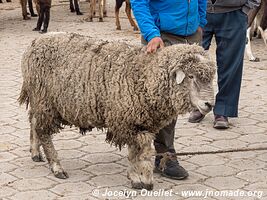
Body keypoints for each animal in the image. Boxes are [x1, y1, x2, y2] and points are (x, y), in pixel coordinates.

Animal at [18, 32, 216, 189]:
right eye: (191, 76)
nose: (209, 104)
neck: (145, 76)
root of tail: (35, 42)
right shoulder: (126, 120)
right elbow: (136, 150)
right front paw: (138, 178)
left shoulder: (141, 123)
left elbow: (140, 150)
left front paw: (142, 177)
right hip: (45, 100)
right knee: (43, 131)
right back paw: (57, 167)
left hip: (40, 100)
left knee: (33, 122)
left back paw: (35, 153)